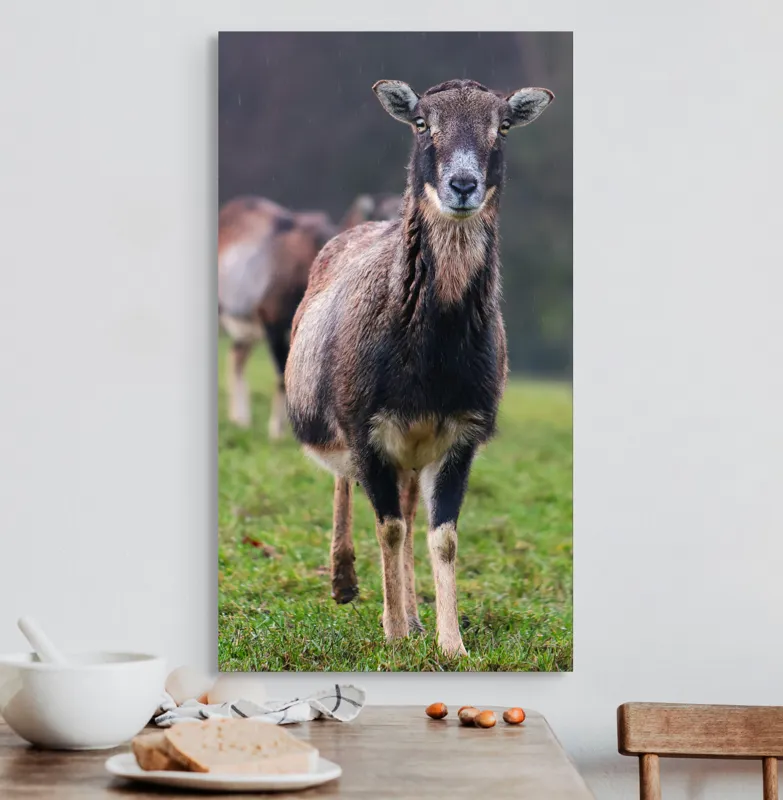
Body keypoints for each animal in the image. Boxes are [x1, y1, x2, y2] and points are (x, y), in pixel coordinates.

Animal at [285, 79, 554, 656]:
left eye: (502, 126)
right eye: (422, 123)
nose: (463, 184)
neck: (430, 359)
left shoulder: (459, 434)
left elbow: (441, 536)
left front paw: (449, 643)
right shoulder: (365, 428)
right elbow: (387, 527)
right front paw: (390, 634)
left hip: (411, 452)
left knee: (410, 515)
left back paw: (412, 616)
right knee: (353, 490)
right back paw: (345, 584)